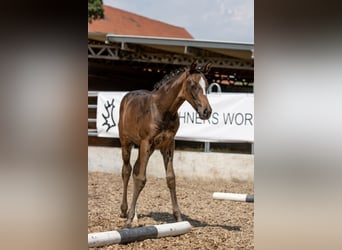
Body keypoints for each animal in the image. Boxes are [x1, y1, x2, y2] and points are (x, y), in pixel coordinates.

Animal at [119, 61, 212, 228]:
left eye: (207, 85)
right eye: (193, 85)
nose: (206, 111)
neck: (162, 109)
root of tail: (127, 96)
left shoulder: (168, 144)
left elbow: (170, 178)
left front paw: (178, 217)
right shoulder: (146, 142)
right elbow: (141, 179)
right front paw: (128, 221)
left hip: (147, 149)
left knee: (135, 169)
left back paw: (134, 214)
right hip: (126, 143)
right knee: (127, 171)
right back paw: (125, 211)